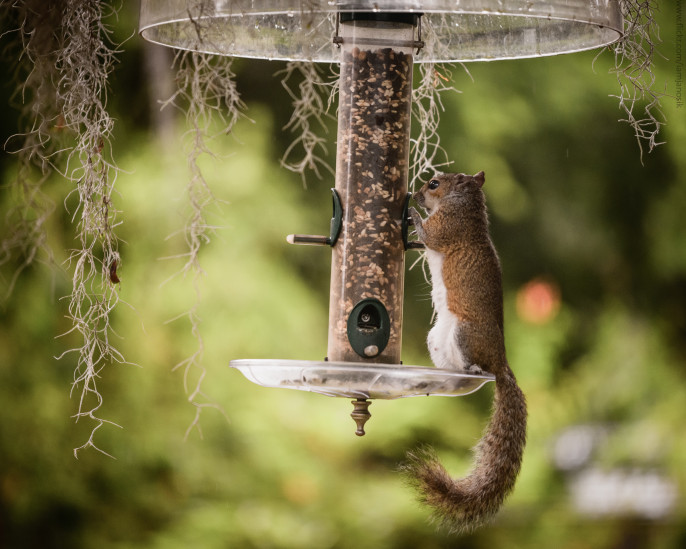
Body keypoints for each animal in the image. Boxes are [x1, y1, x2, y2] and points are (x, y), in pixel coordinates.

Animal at [406, 170, 528, 532]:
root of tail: (502, 363)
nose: (416, 194)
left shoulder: (447, 228)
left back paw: (474, 370)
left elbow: (429, 234)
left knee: (480, 367)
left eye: (434, 184)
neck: (465, 208)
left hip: (465, 335)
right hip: (438, 339)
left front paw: (411, 213)